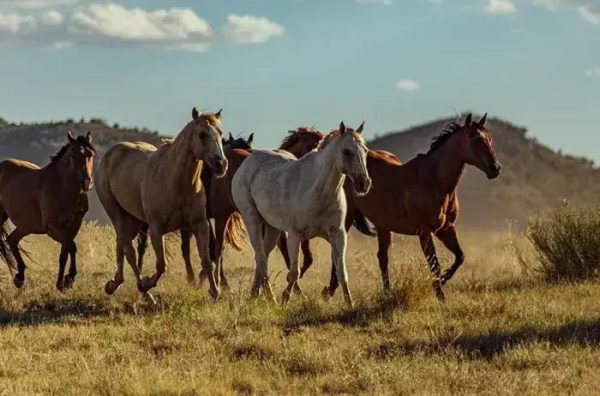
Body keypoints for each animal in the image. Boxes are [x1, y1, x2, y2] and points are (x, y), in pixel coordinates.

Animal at [0, 131, 95, 290]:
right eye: (73, 154)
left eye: (90, 154)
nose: (86, 182)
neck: (63, 188)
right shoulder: (53, 229)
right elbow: (72, 247)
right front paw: (69, 278)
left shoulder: (73, 227)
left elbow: (64, 253)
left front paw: (61, 282)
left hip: (26, 225)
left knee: (12, 239)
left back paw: (20, 277)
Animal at [97, 108, 229, 300]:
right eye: (202, 134)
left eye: (220, 133)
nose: (221, 164)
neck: (176, 182)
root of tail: (110, 154)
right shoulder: (156, 228)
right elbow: (162, 264)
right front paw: (147, 282)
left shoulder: (200, 224)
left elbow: (206, 259)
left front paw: (214, 290)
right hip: (117, 215)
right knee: (130, 252)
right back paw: (145, 292)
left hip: (133, 220)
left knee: (121, 245)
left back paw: (113, 284)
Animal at [233, 121, 370, 306]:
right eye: (346, 151)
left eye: (365, 150)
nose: (364, 183)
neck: (318, 191)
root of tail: (246, 164)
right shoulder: (294, 236)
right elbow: (294, 272)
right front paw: (285, 298)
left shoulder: (338, 235)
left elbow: (342, 272)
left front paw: (350, 304)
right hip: (252, 220)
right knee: (261, 257)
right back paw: (269, 297)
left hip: (272, 228)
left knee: (262, 257)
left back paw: (257, 294)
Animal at [318, 114, 502, 300]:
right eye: (474, 138)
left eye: (490, 138)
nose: (495, 168)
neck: (434, 180)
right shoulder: (425, 231)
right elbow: (434, 264)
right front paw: (440, 295)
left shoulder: (446, 228)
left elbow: (460, 257)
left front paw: (441, 282)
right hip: (347, 218)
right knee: (338, 255)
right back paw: (329, 291)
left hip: (383, 225)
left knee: (382, 257)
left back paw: (386, 293)